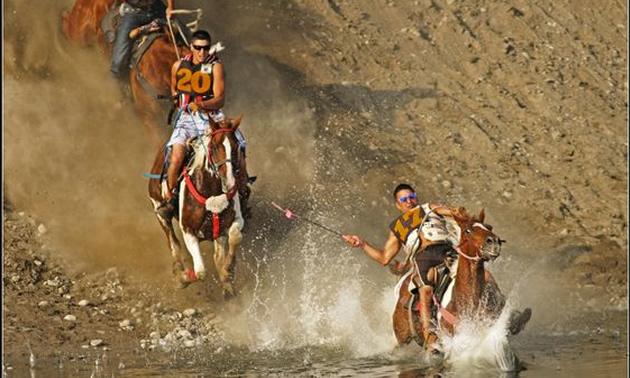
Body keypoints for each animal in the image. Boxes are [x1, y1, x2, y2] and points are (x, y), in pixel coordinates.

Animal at [148, 113, 247, 296]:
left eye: (236, 147)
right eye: (214, 147)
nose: (229, 183)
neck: (211, 191)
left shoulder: (233, 221)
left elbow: (235, 237)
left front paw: (227, 270)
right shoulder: (188, 231)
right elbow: (201, 272)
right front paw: (183, 278)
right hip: (160, 213)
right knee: (174, 244)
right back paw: (178, 272)